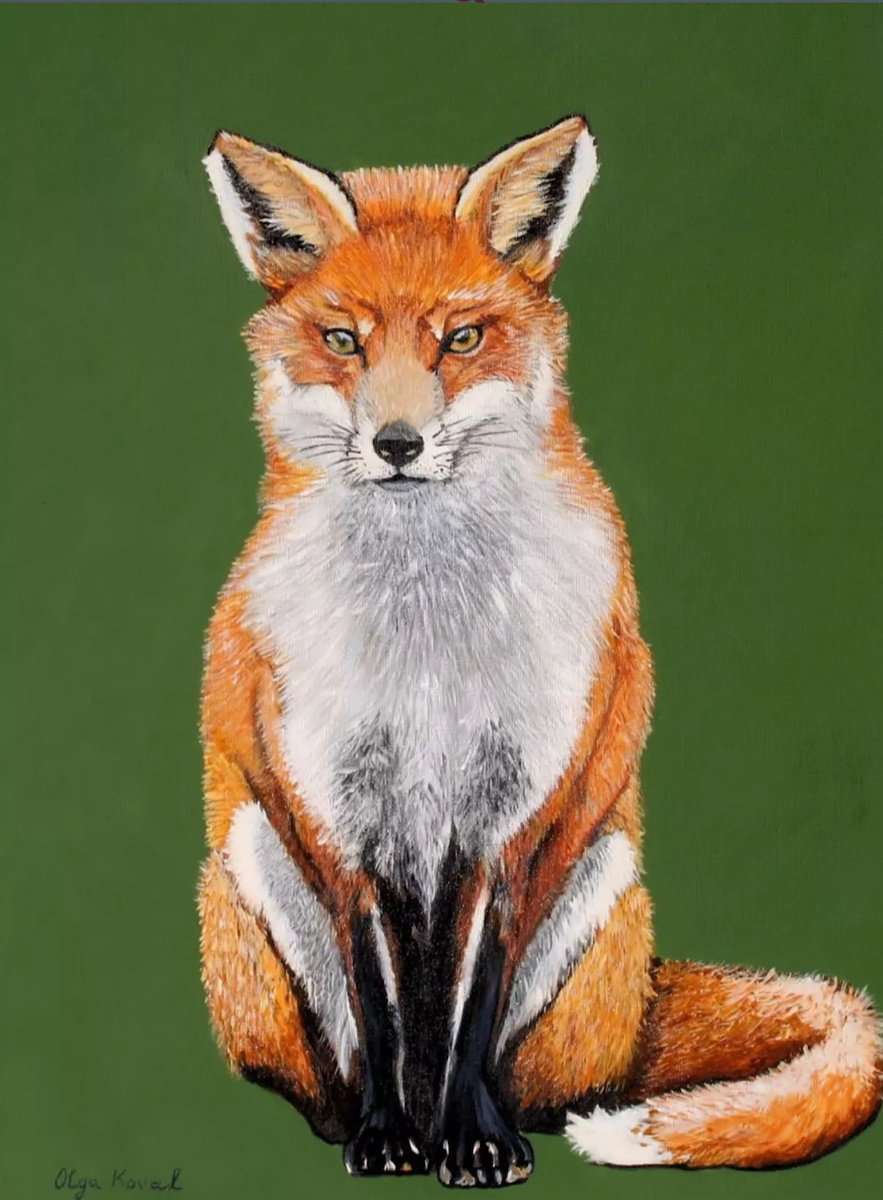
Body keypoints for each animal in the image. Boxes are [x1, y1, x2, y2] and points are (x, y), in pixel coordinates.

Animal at [197, 115, 881, 1186]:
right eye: (344, 341)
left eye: (462, 337)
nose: (397, 445)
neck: (428, 640)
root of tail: (645, 1002)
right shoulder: (341, 818)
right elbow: (382, 1008)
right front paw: (388, 1137)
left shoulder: (516, 815)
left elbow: (475, 1005)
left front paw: (474, 1138)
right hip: (251, 862)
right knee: (329, 1068)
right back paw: (369, 1121)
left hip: (602, 882)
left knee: (544, 1076)